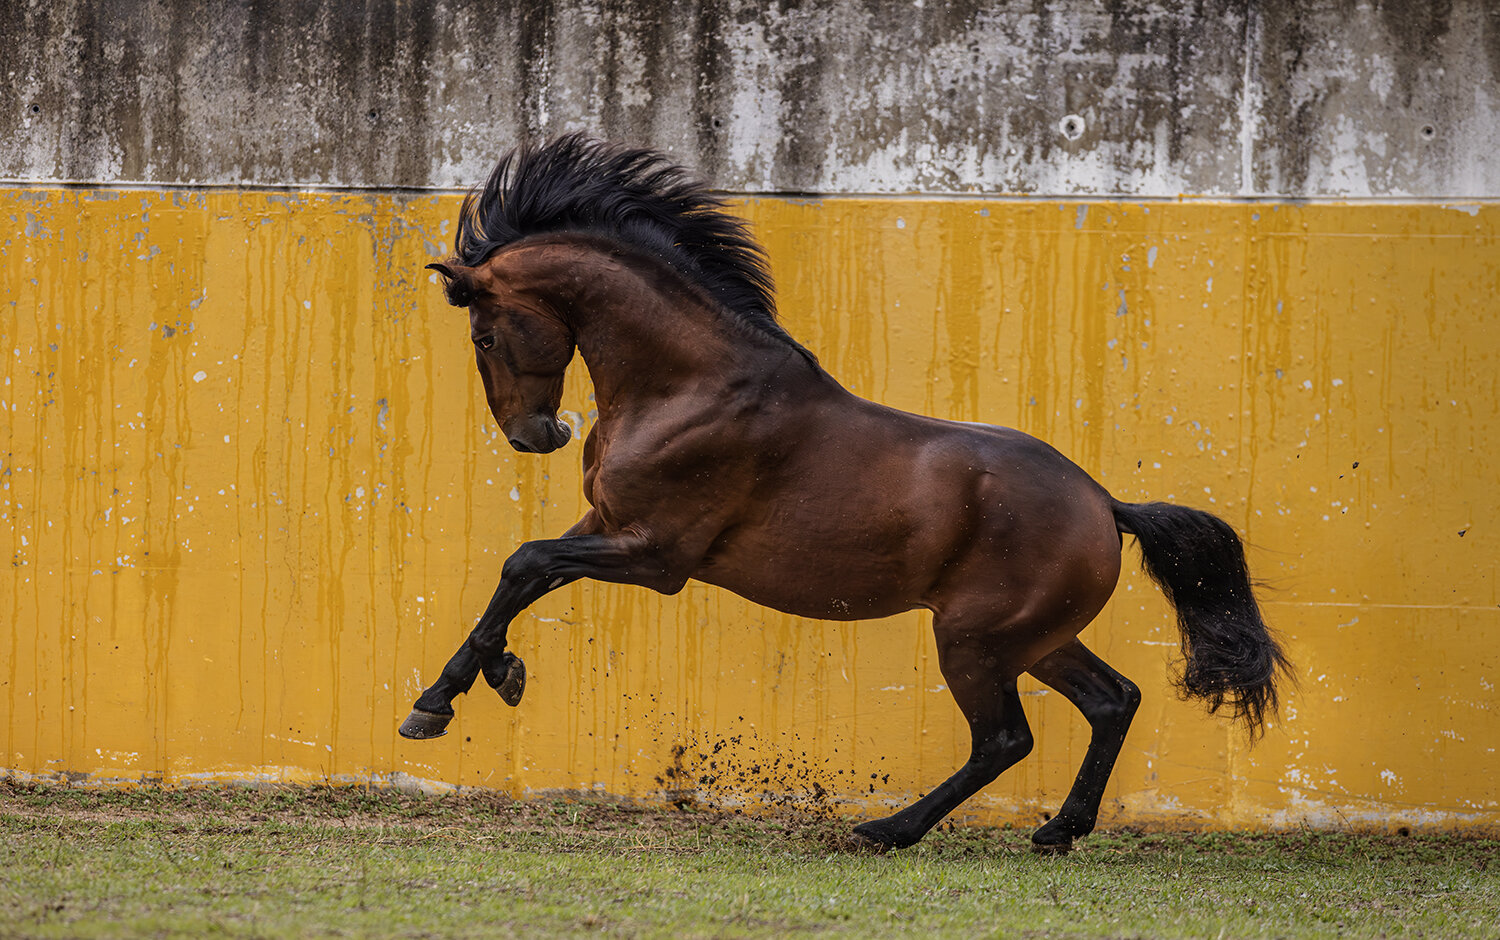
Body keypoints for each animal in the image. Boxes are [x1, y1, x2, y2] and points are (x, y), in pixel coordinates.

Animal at [400, 134, 1290, 854]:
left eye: (484, 332)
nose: (533, 436)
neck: (691, 386)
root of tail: (1105, 505)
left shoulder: (655, 553)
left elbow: (525, 560)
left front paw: (441, 701)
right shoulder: (608, 522)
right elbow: (528, 573)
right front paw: (486, 677)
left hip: (975, 641)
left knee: (1004, 740)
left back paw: (889, 830)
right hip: (1035, 638)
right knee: (1112, 701)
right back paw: (1058, 830)